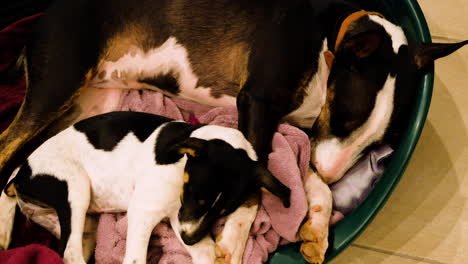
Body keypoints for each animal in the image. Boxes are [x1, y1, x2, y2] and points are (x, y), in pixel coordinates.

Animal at [2, 111, 288, 264]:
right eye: (194, 195)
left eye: (223, 212)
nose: (188, 239)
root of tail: (22, 173)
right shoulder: (145, 212)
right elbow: (136, 258)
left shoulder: (181, 218)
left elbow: (205, 250)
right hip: (75, 187)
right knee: (69, 252)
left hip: (82, 226)